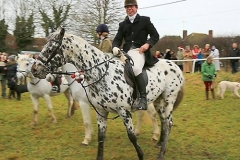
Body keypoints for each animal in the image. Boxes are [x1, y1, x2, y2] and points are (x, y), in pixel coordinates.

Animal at [30, 27, 184, 160]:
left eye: (50, 49)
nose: (34, 70)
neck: (102, 73)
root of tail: (175, 65)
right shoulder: (101, 111)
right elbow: (100, 137)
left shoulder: (123, 111)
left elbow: (132, 137)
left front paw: (141, 155)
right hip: (158, 100)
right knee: (163, 120)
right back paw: (159, 143)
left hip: (169, 100)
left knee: (168, 122)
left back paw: (161, 153)